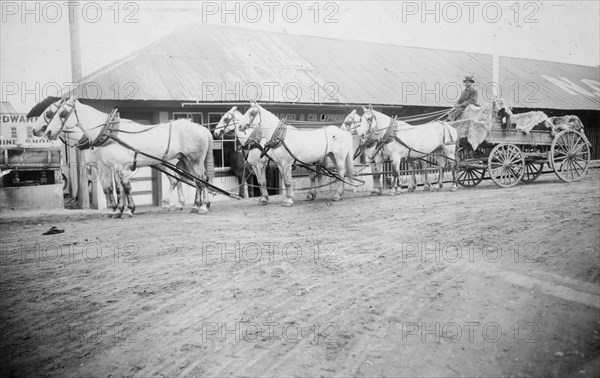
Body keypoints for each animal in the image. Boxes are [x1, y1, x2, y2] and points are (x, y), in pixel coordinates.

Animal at [32, 96, 216, 217]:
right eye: (52, 113)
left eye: (60, 113)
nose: (44, 131)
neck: (107, 132)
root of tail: (202, 128)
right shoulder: (108, 166)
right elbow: (112, 188)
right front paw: (114, 210)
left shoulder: (118, 165)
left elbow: (125, 187)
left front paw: (127, 209)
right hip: (185, 160)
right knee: (193, 180)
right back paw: (191, 205)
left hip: (194, 160)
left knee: (199, 180)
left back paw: (200, 207)